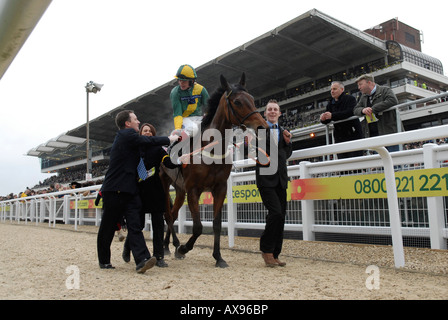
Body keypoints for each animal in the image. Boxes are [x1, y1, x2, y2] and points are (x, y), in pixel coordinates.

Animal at [160, 73, 268, 268]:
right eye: (237, 102)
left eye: (252, 98)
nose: (262, 126)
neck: (211, 149)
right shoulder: (193, 189)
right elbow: (198, 227)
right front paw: (183, 249)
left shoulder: (220, 188)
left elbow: (217, 224)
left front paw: (218, 257)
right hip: (164, 183)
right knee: (168, 215)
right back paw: (175, 245)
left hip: (179, 189)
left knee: (172, 214)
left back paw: (167, 246)